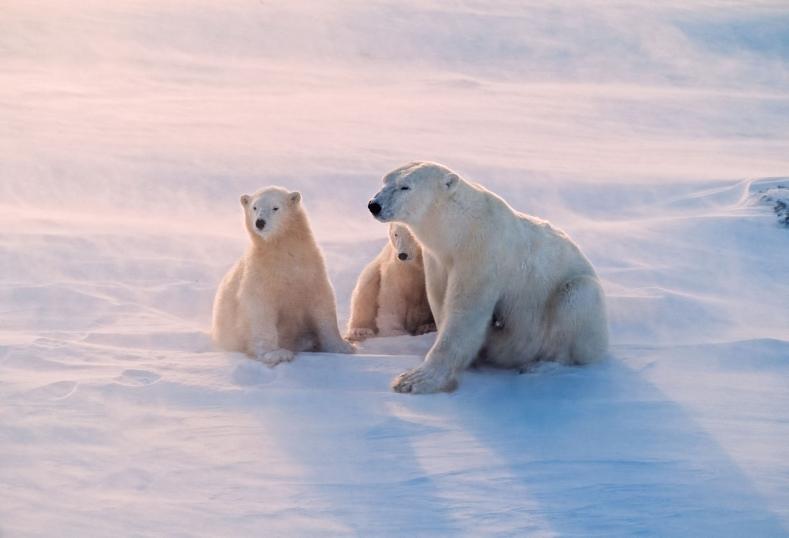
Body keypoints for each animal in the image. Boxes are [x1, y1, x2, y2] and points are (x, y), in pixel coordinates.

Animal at [211, 186, 354, 366]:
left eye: (275, 208)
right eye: (254, 207)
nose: (260, 222)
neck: (282, 254)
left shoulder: (312, 271)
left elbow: (323, 305)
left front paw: (343, 347)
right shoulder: (260, 275)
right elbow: (260, 309)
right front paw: (276, 354)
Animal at [367, 162, 608, 393]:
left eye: (405, 186)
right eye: (385, 180)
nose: (373, 205)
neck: (459, 230)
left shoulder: (481, 253)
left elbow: (466, 312)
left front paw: (415, 379)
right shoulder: (437, 260)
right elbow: (440, 301)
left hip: (577, 308)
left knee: (576, 301)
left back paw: (540, 365)